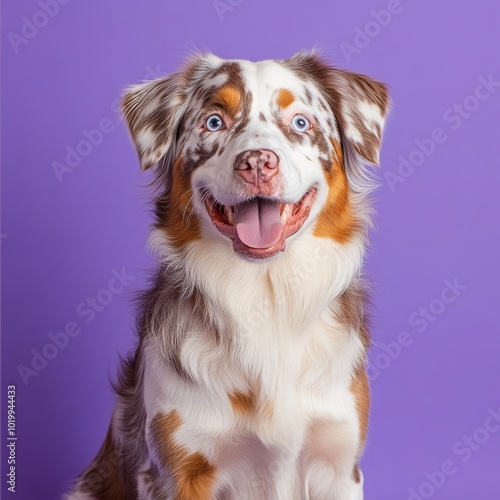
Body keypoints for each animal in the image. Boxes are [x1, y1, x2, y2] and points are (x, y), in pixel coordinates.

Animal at [69, 51, 390, 500]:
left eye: (300, 123)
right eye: (214, 121)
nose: (256, 162)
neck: (265, 293)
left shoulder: (338, 465)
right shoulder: (177, 470)